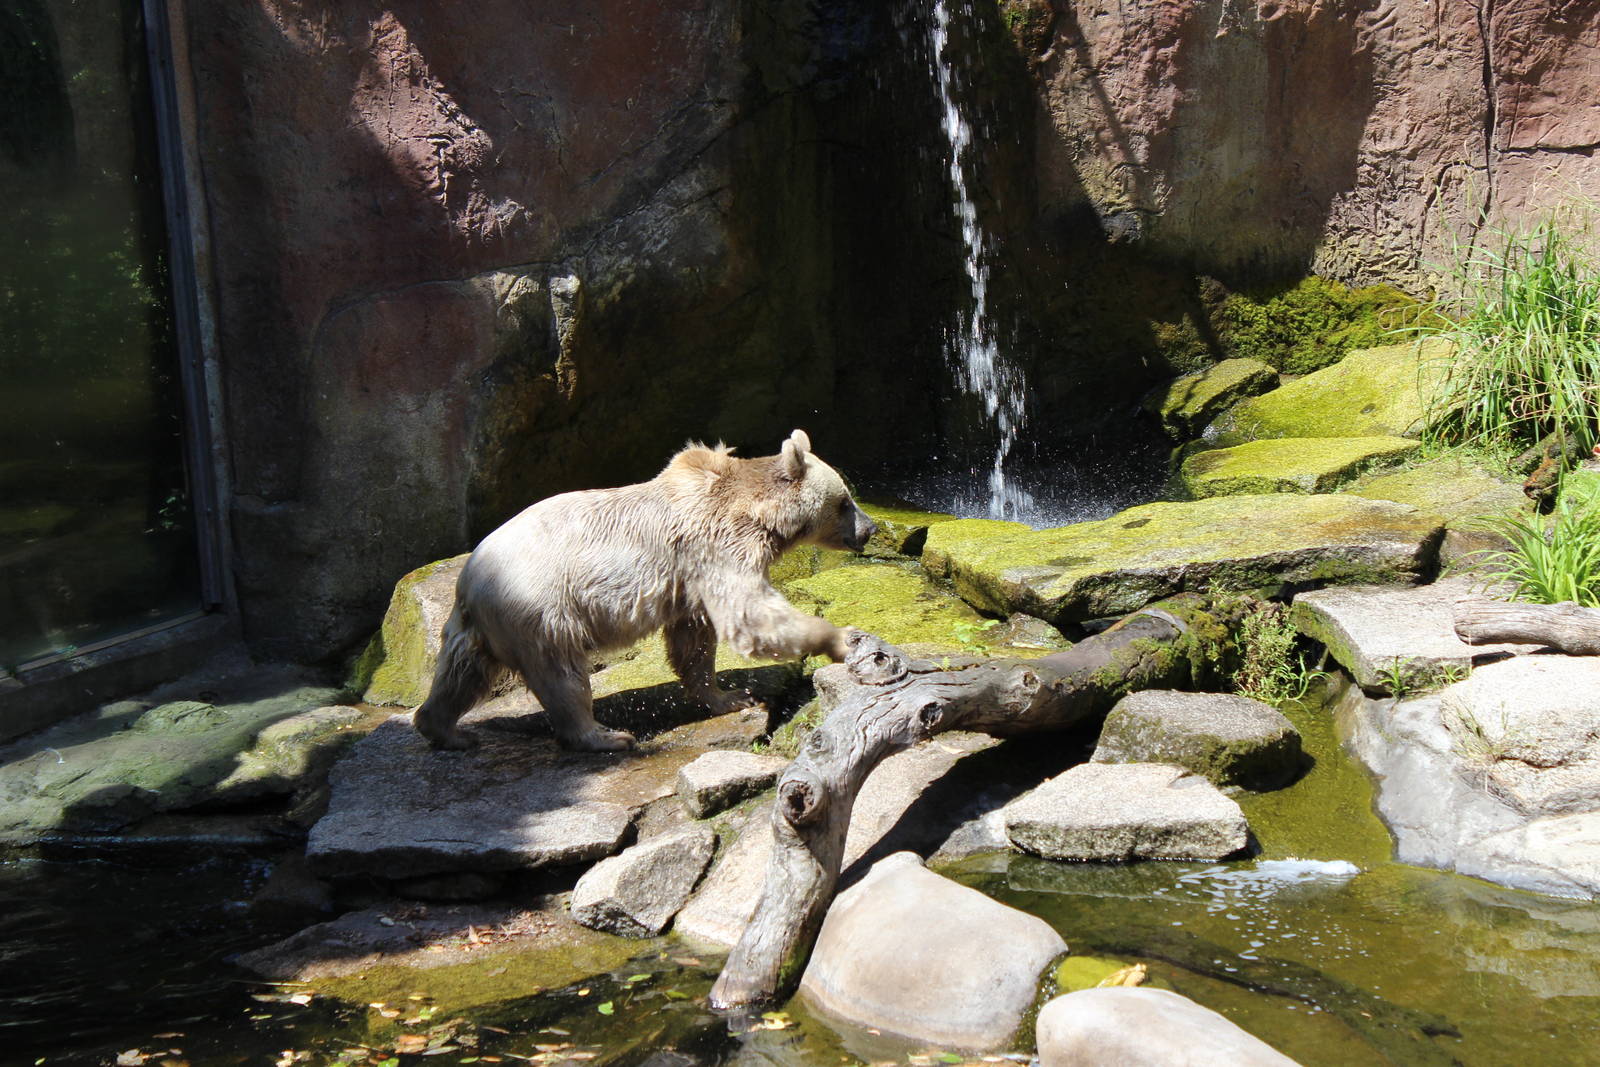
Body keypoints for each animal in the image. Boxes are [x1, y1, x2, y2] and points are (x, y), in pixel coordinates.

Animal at [413, 429, 877, 752]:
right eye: (845, 501)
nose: (870, 528)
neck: (750, 506)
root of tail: (469, 582)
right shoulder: (715, 543)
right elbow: (748, 613)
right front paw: (840, 639)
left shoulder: (690, 577)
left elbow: (694, 639)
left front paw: (730, 696)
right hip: (540, 609)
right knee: (562, 675)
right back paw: (605, 736)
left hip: (480, 628)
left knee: (461, 674)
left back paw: (445, 730)